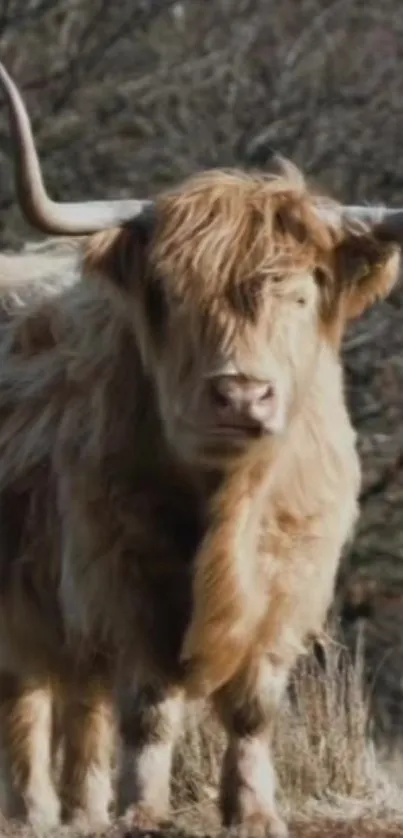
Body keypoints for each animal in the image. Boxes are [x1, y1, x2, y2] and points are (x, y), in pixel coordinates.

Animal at [0, 62, 403, 836]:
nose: (241, 396)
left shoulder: (290, 576)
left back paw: (81, 809)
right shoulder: (120, 570)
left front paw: (253, 810)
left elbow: (252, 710)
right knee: (30, 695)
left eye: (300, 295)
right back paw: (36, 810)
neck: (228, 497)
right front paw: (143, 808)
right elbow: (149, 708)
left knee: (78, 700)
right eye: (174, 296)